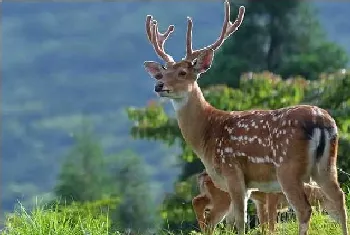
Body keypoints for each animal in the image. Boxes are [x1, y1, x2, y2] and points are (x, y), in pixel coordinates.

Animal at [142, 0, 348, 234]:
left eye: (182, 73)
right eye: (161, 73)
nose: (159, 86)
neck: (207, 134)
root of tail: (323, 122)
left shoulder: (232, 171)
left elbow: (240, 221)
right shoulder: (248, 184)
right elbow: (236, 222)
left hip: (288, 168)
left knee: (305, 209)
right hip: (326, 165)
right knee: (339, 198)